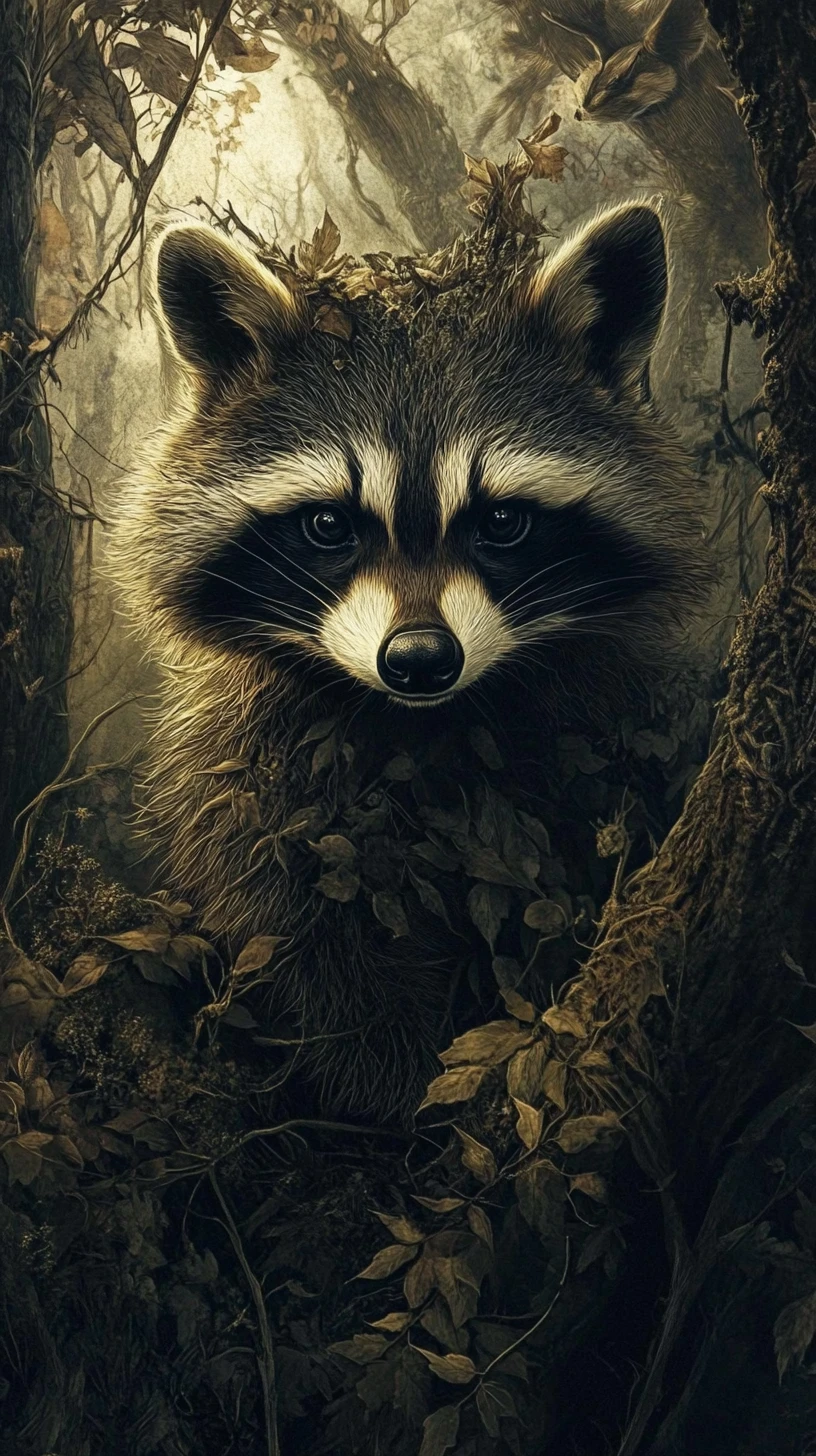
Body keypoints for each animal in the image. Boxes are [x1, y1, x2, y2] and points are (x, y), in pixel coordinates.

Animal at [110, 202, 708, 1120]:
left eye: (502, 521)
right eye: (329, 525)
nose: (421, 659)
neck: (426, 727)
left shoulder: (594, 744)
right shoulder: (253, 780)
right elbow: (311, 946)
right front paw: (386, 1091)